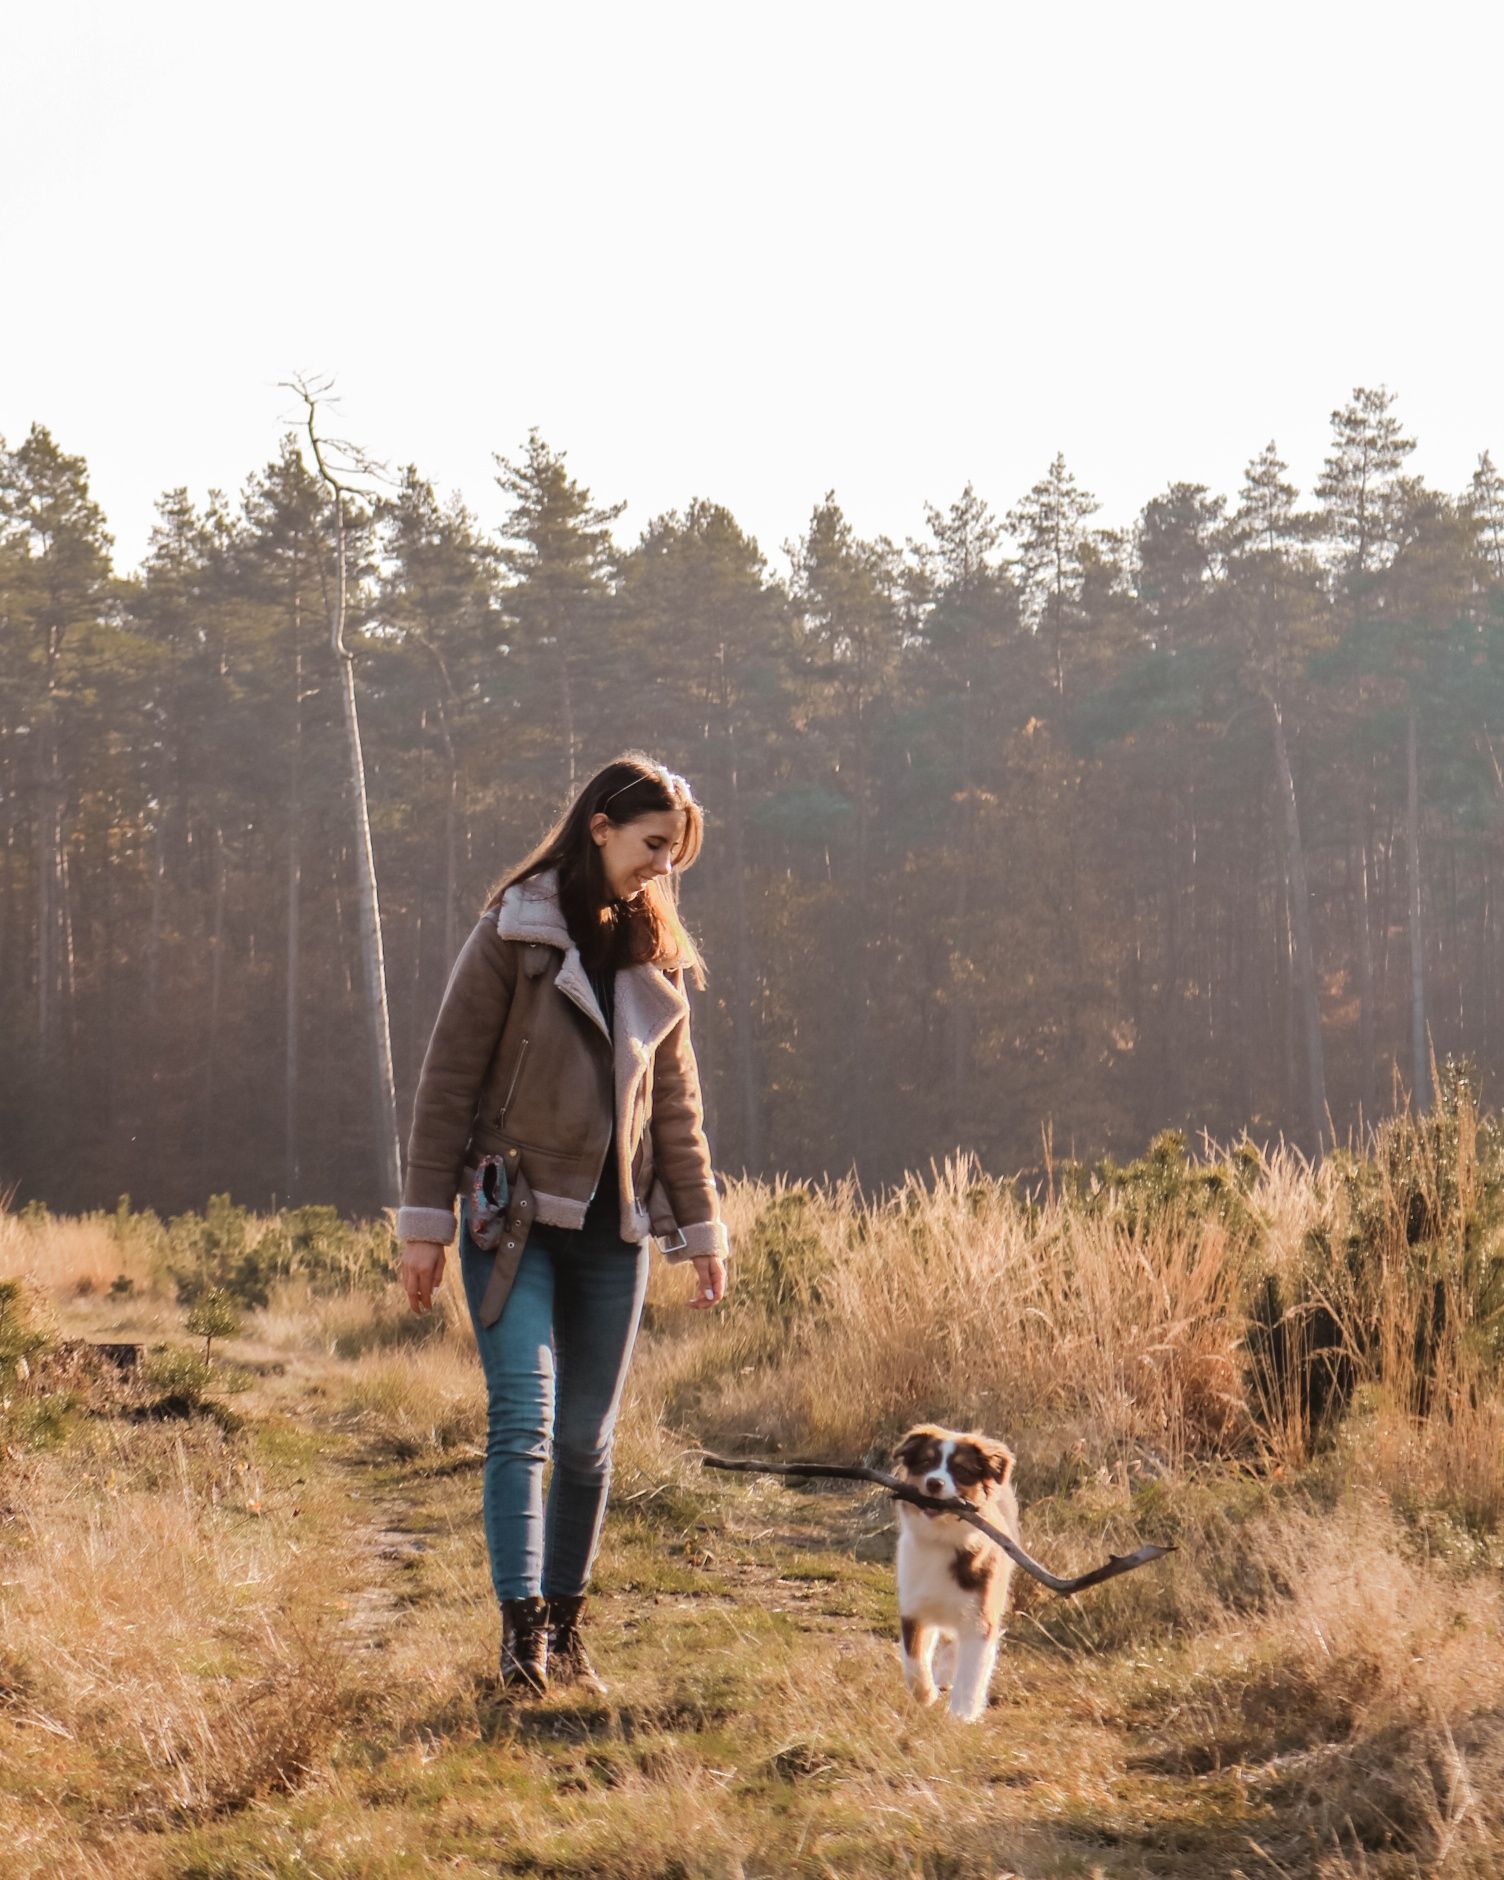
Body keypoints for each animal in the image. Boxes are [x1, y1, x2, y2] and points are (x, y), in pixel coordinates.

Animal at [894, 1421, 1022, 1722]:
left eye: (961, 1470)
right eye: (926, 1462)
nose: (934, 1483)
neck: (941, 1539)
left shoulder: (980, 1617)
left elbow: (972, 1672)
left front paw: (962, 1715)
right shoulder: (914, 1607)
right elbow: (913, 1658)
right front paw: (926, 1694)